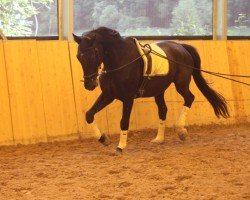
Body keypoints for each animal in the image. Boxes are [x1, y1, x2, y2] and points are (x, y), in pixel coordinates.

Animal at [72, 26, 229, 152]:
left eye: (93, 53)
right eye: (79, 56)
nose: (89, 84)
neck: (119, 61)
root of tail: (181, 46)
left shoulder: (128, 98)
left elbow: (124, 121)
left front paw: (120, 147)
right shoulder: (108, 95)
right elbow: (89, 115)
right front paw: (104, 139)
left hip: (181, 84)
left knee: (189, 98)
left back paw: (181, 131)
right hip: (159, 90)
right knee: (163, 109)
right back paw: (159, 139)